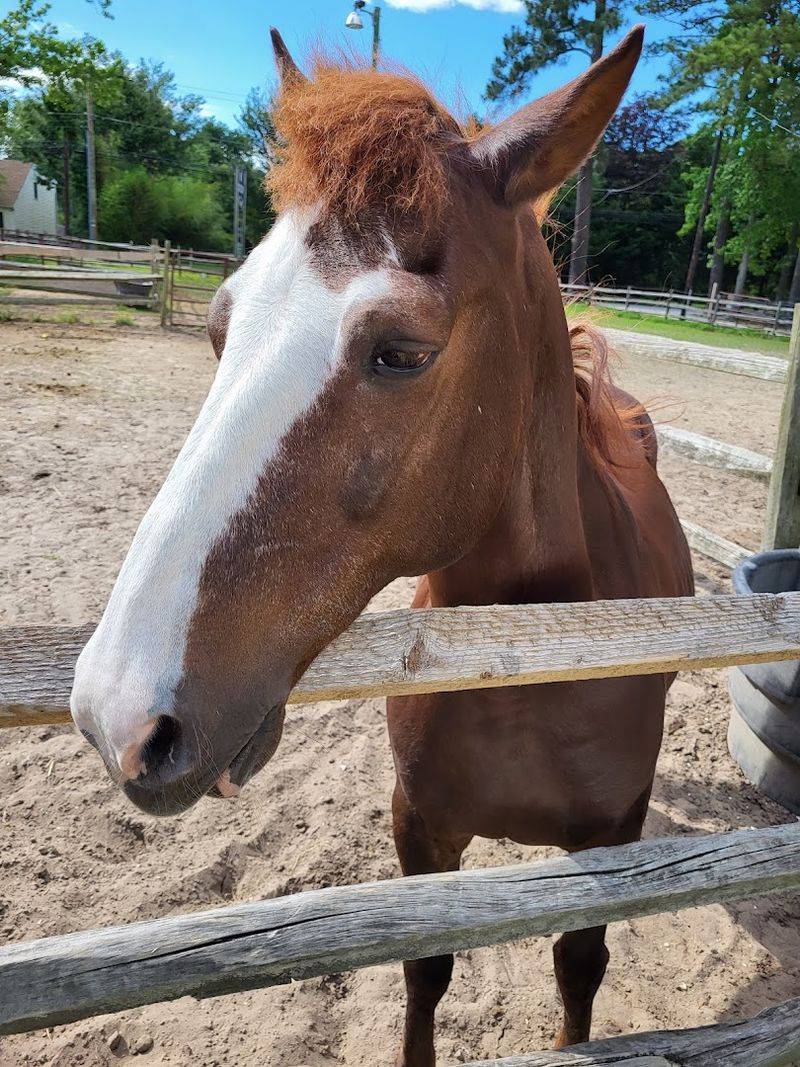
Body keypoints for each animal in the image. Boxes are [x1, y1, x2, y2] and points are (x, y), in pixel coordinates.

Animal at [71, 24, 693, 1065]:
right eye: (218, 327)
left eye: (401, 351)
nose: (116, 714)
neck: (538, 656)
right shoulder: (422, 830)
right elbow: (425, 969)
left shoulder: (612, 844)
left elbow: (578, 970)